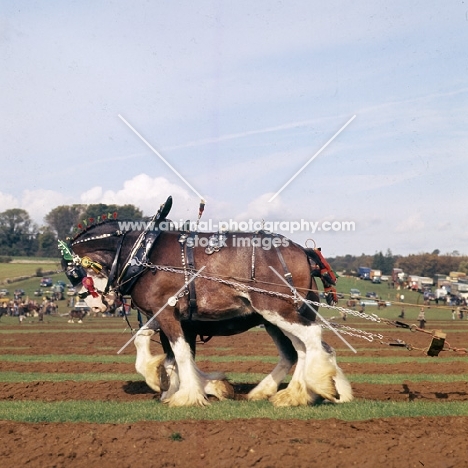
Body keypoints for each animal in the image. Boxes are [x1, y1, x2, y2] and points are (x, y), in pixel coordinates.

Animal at [60, 197, 352, 406]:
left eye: (73, 272)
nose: (95, 305)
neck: (144, 254)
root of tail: (303, 251)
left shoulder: (167, 313)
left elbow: (179, 354)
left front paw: (186, 395)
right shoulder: (168, 316)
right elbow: (159, 349)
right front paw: (173, 385)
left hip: (277, 310)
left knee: (311, 339)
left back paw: (318, 386)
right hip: (278, 317)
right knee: (301, 349)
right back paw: (294, 393)